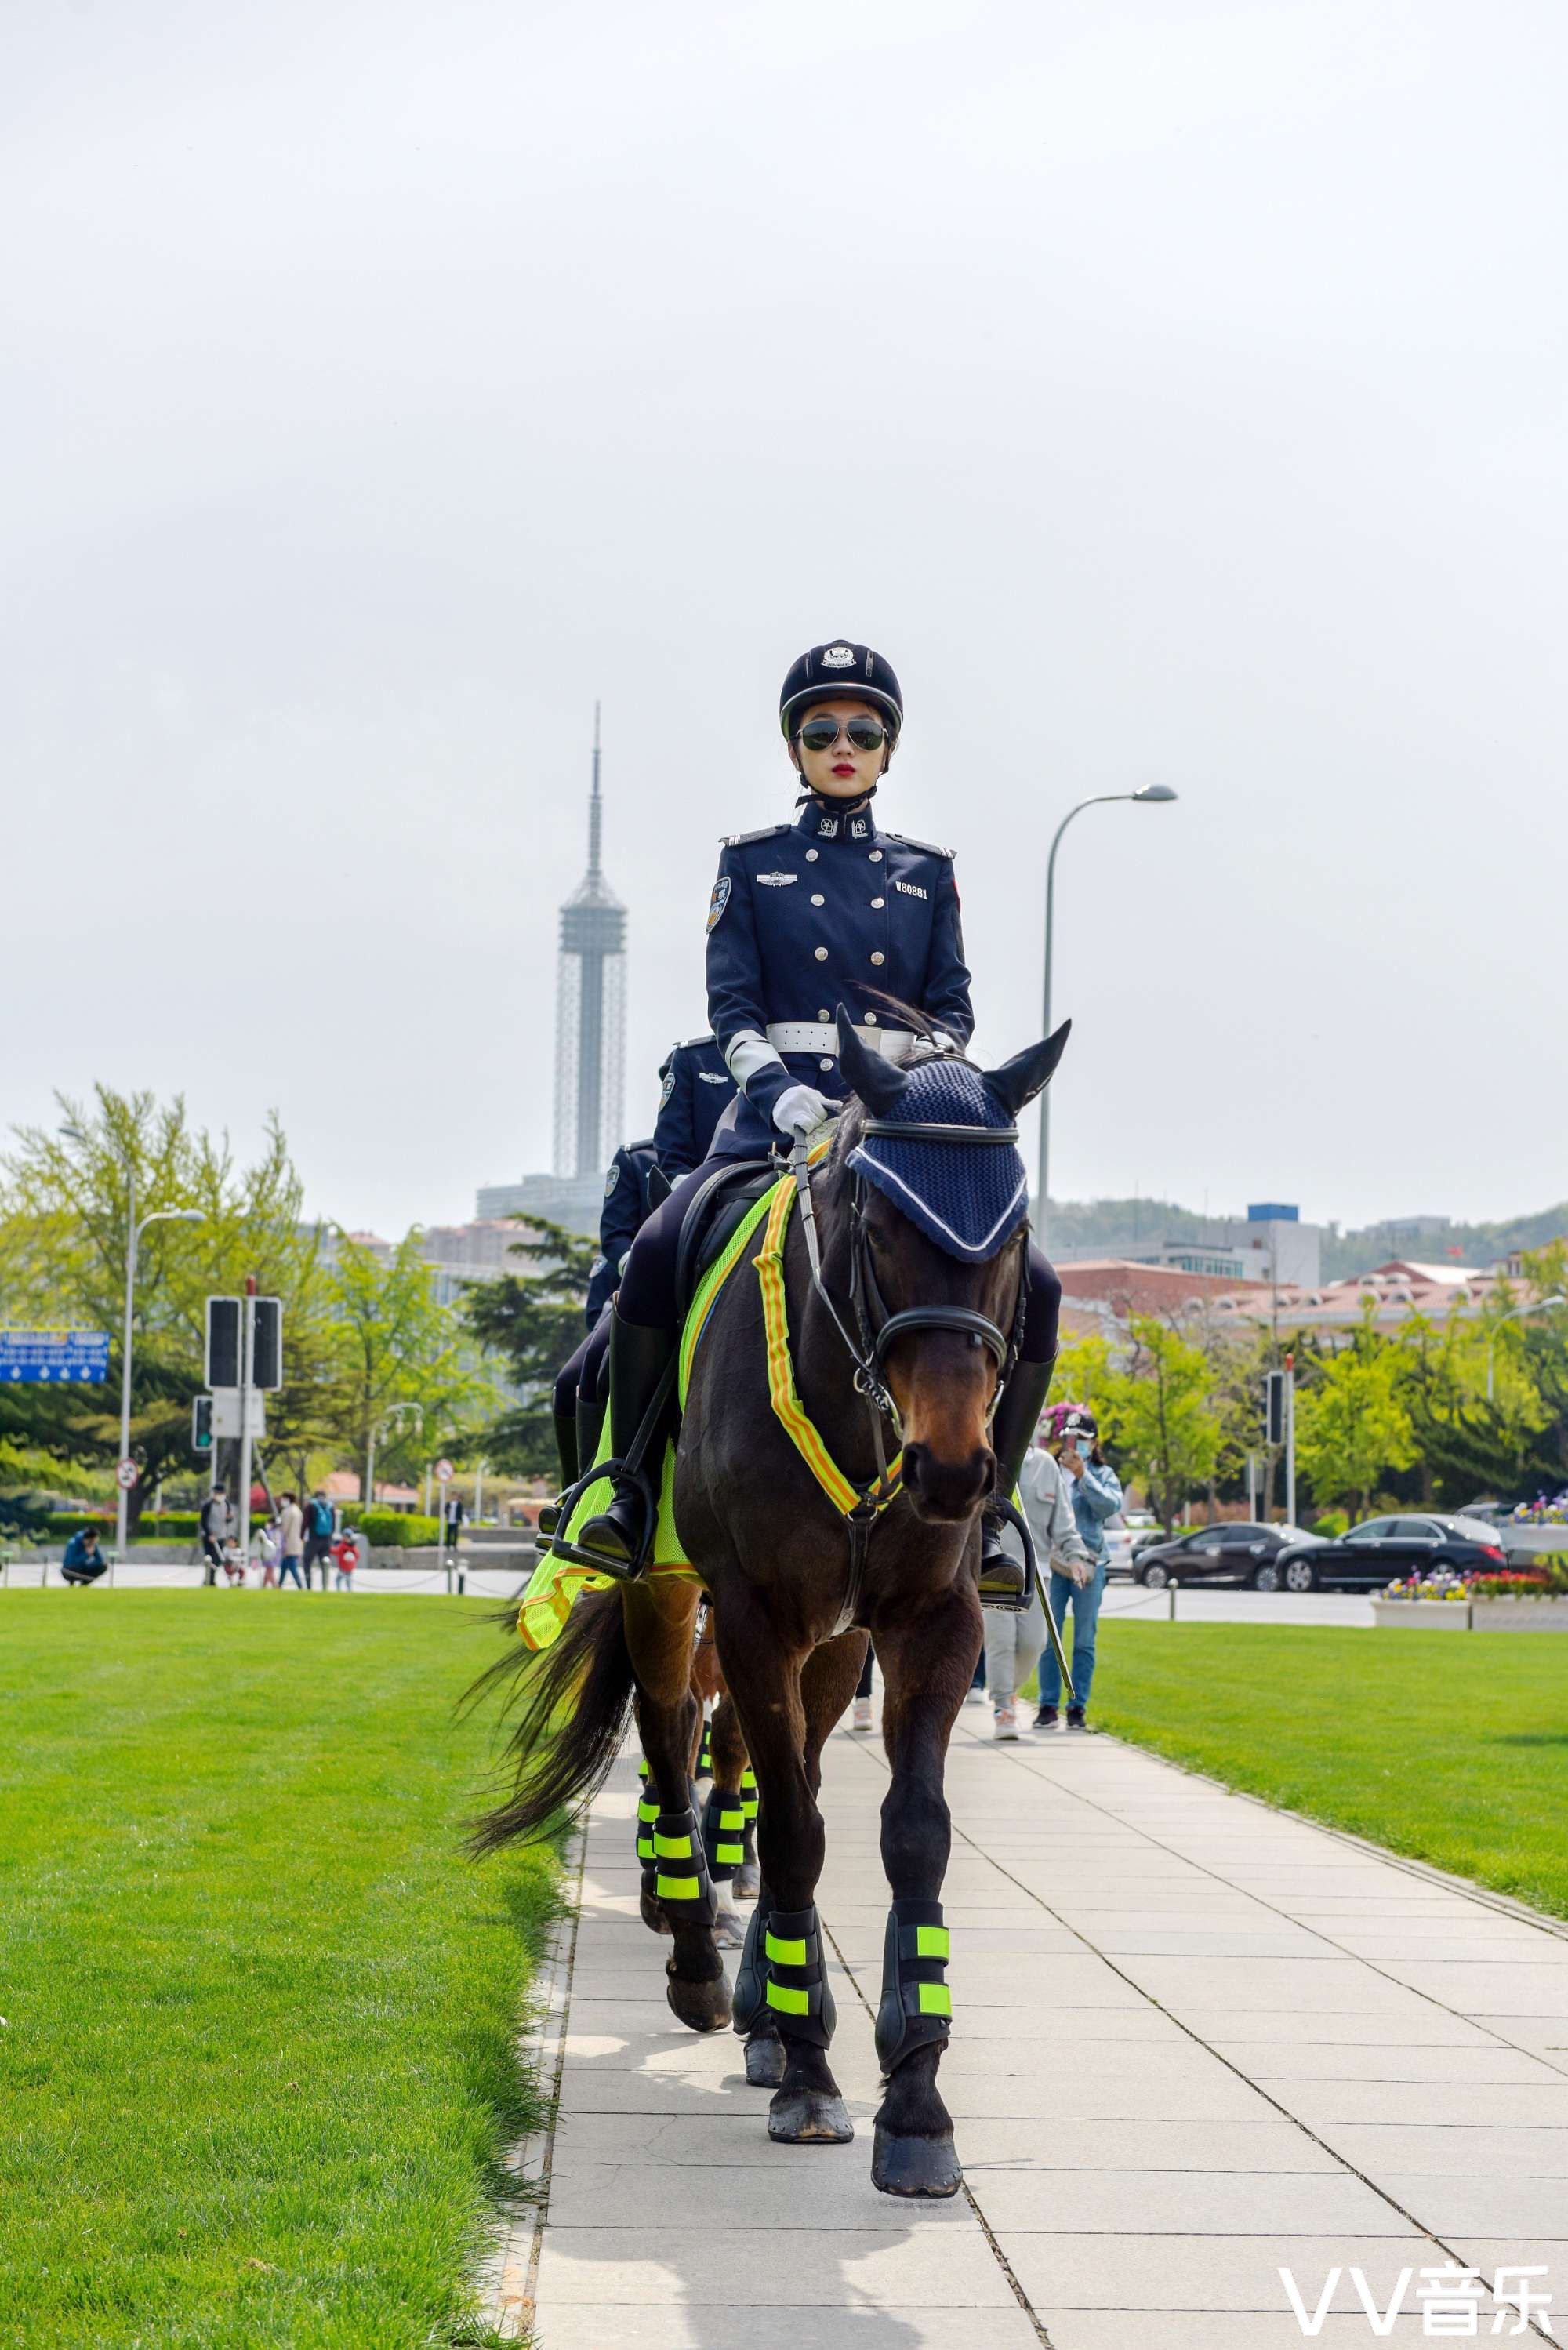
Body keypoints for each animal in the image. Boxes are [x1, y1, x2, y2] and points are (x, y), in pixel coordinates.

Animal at [479, 1015, 1067, 2199]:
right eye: (879, 1225)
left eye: (1013, 1234)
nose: (952, 1470)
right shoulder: (749, 1616)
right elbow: (790, 1826)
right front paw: (805, 2064)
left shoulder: (927, 1623)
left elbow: (906, 1831)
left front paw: (914, 2092)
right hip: (666, 1595)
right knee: (668, 1739)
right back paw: (701, 1959)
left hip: (833, 1640)